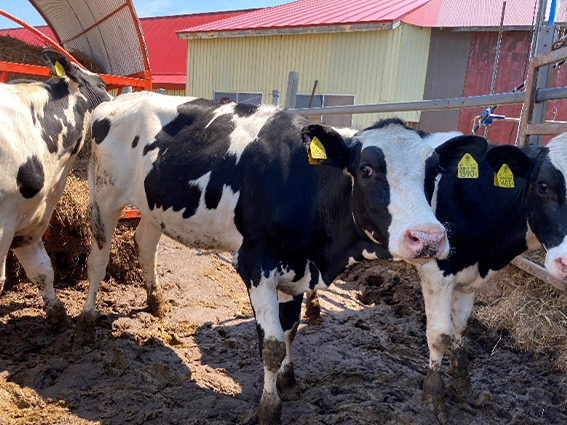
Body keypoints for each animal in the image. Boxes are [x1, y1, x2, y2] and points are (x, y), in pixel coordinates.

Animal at [76, 91, 466, 422]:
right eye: (366, 170)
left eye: (433, 172)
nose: (429, 238)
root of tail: (116, 100)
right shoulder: (255, 263)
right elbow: (272, 345)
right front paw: (268, 409)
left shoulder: (297, 269)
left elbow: (290, 329)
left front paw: (288, 380)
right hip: (105, 196)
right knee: (98, 258)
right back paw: (87, 321)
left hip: (154, 205)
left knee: (145, 241)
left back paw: (155, 301)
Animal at [414, 132, 567, 420]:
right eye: (543, 186)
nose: (565, 262)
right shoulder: (436, 273)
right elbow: (440, 336)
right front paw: (434, 396)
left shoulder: (468, 280)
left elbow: (462, 328)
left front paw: (462, 385)